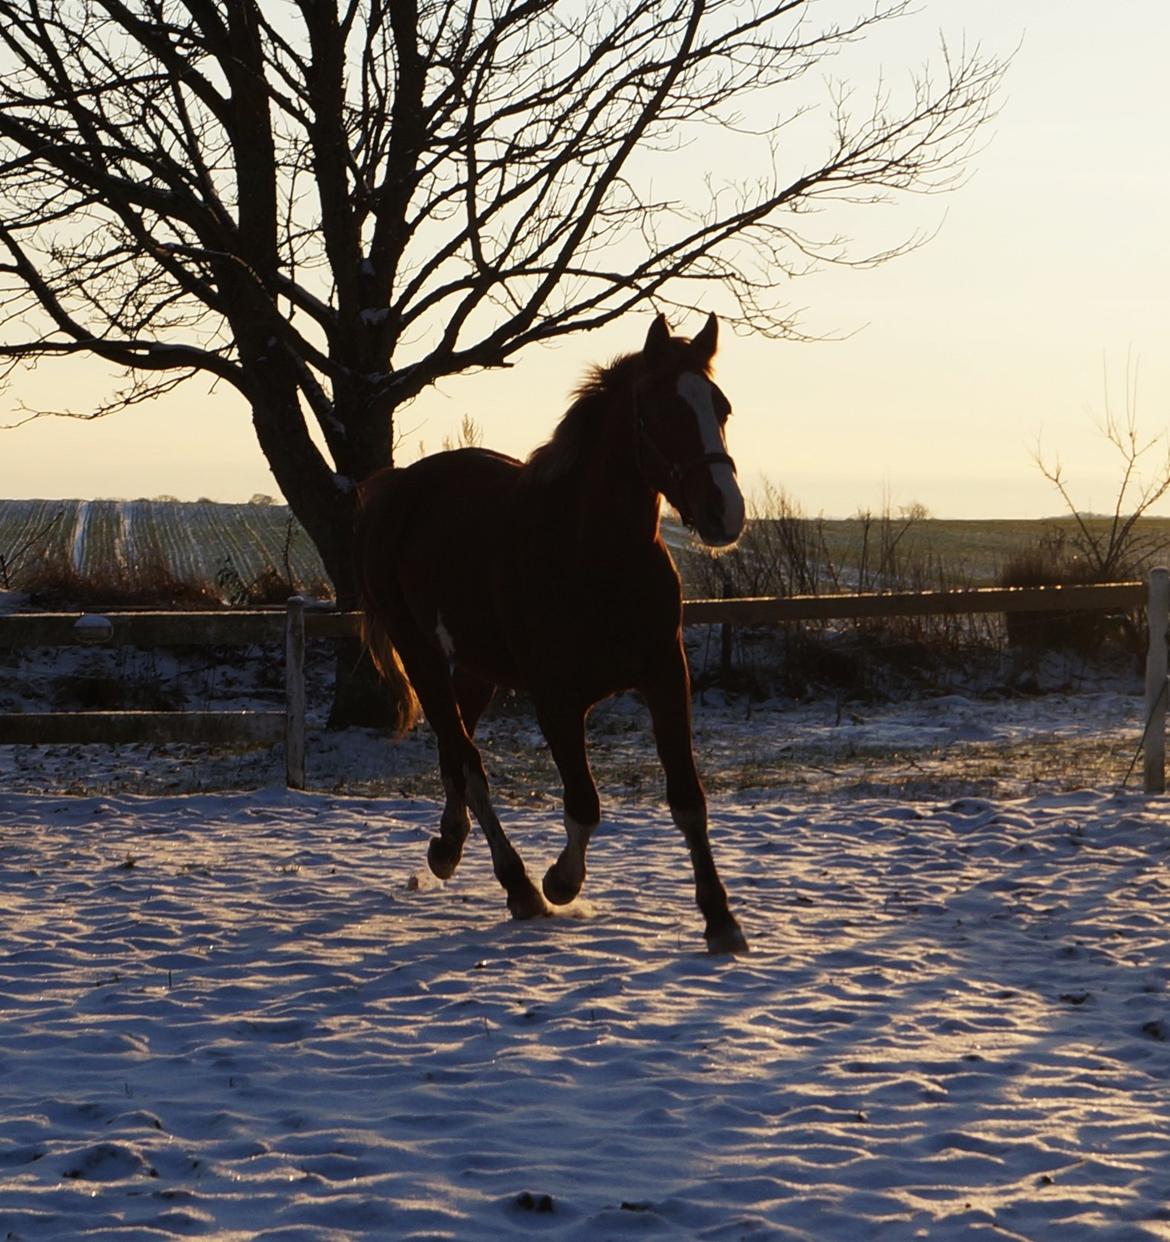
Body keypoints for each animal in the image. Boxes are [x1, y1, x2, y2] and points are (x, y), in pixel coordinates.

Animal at [352, 310, 750, 948]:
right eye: (656, 412)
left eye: (721, 408)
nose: (724, 513)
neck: (595, 556)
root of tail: (398, 490)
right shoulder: (557, 699)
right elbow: (584, 803)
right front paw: (560, 883)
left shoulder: (667, 676)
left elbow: (688, 799)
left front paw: (721, 920)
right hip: (422, 656)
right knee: (469, 765)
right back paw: (518, 886)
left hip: (475, 668)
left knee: (453, 754)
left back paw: (447, 848)